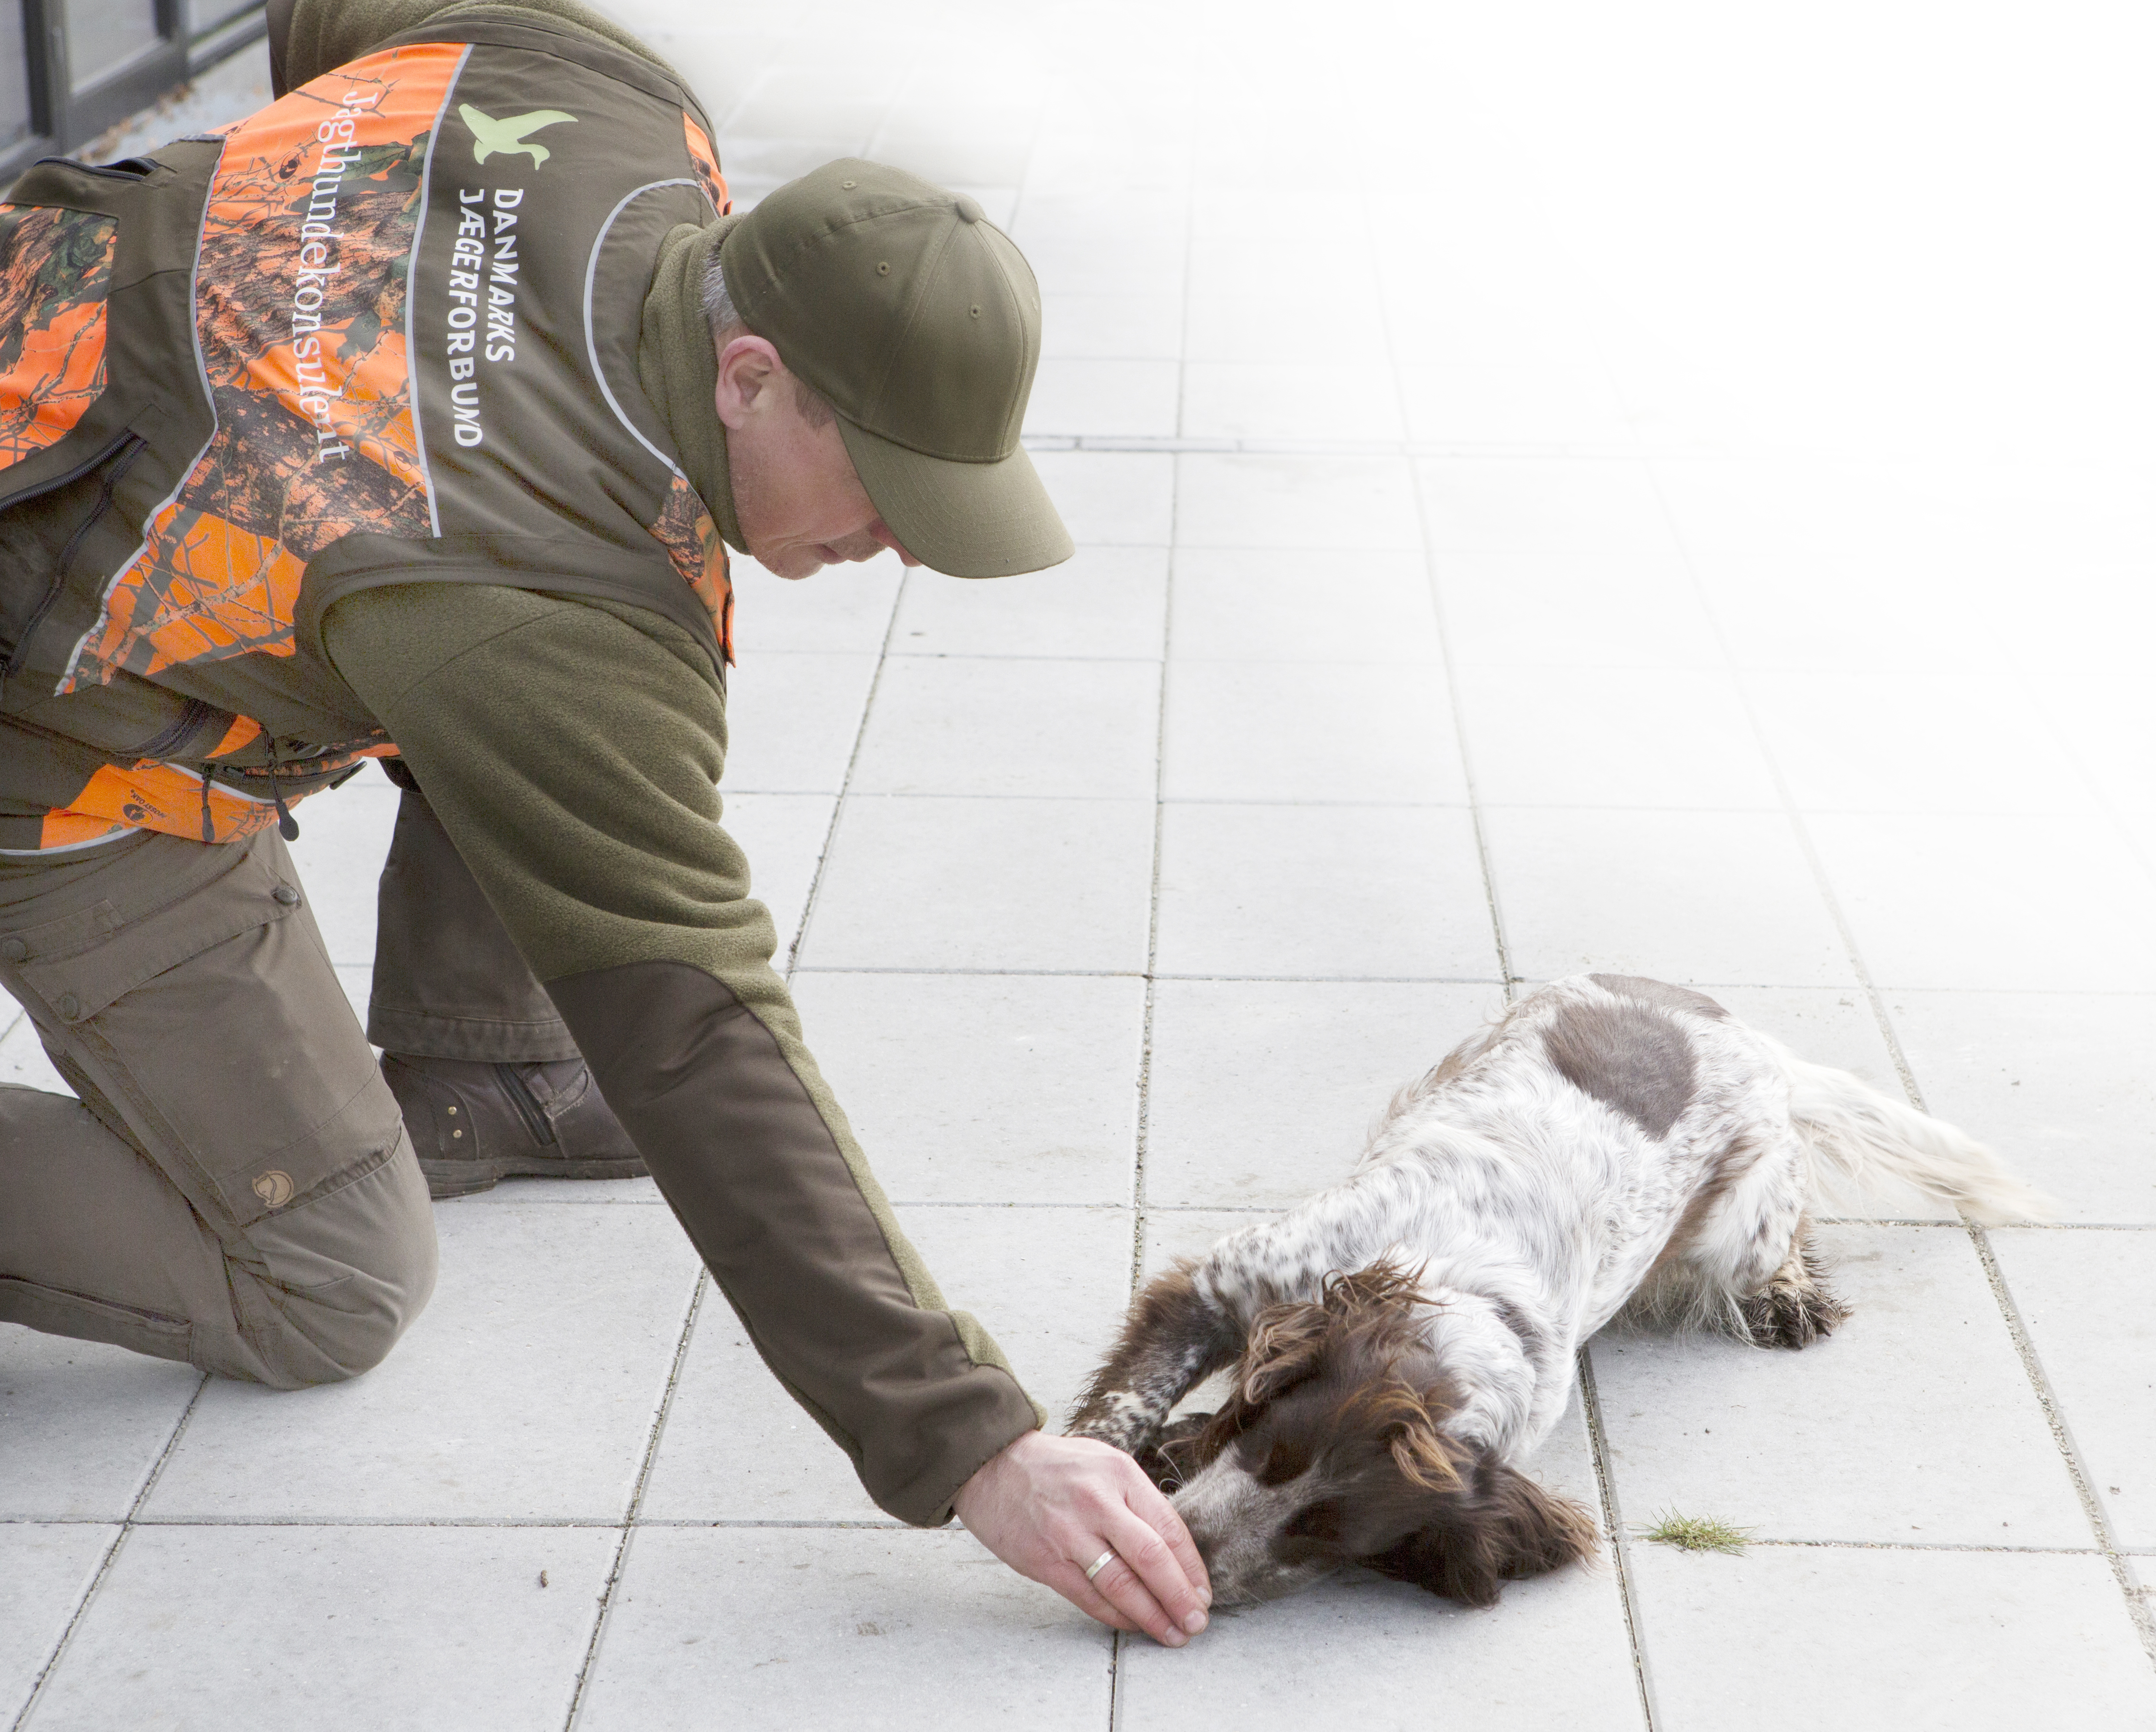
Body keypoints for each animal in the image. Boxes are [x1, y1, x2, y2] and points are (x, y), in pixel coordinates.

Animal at [1069, 975, 2044, 1613]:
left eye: (1325, 1532)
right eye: (1271, 1453)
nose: (1194, 1555)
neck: (1455, 1282)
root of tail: (1747, 1033)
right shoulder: (1219, 1285)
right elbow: (1115, 1417)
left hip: (1738, 1220)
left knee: (1781, 1226)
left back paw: (1787, 1295)